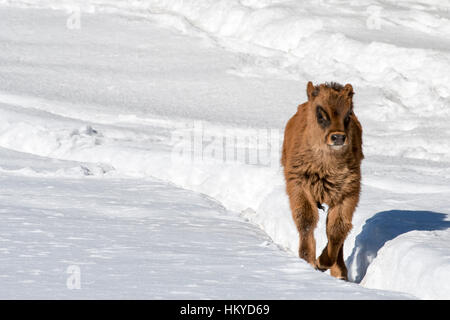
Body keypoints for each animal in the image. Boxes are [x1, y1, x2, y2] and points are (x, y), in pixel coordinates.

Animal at [284, 81, 364, 278]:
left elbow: (337, 230)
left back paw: (340, 272)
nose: (338, 137)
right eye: (320, 114)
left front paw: (323, 263)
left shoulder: (347, 194)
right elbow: (306, 221)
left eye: (348, 114)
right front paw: (308, 260)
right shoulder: (299, 187)